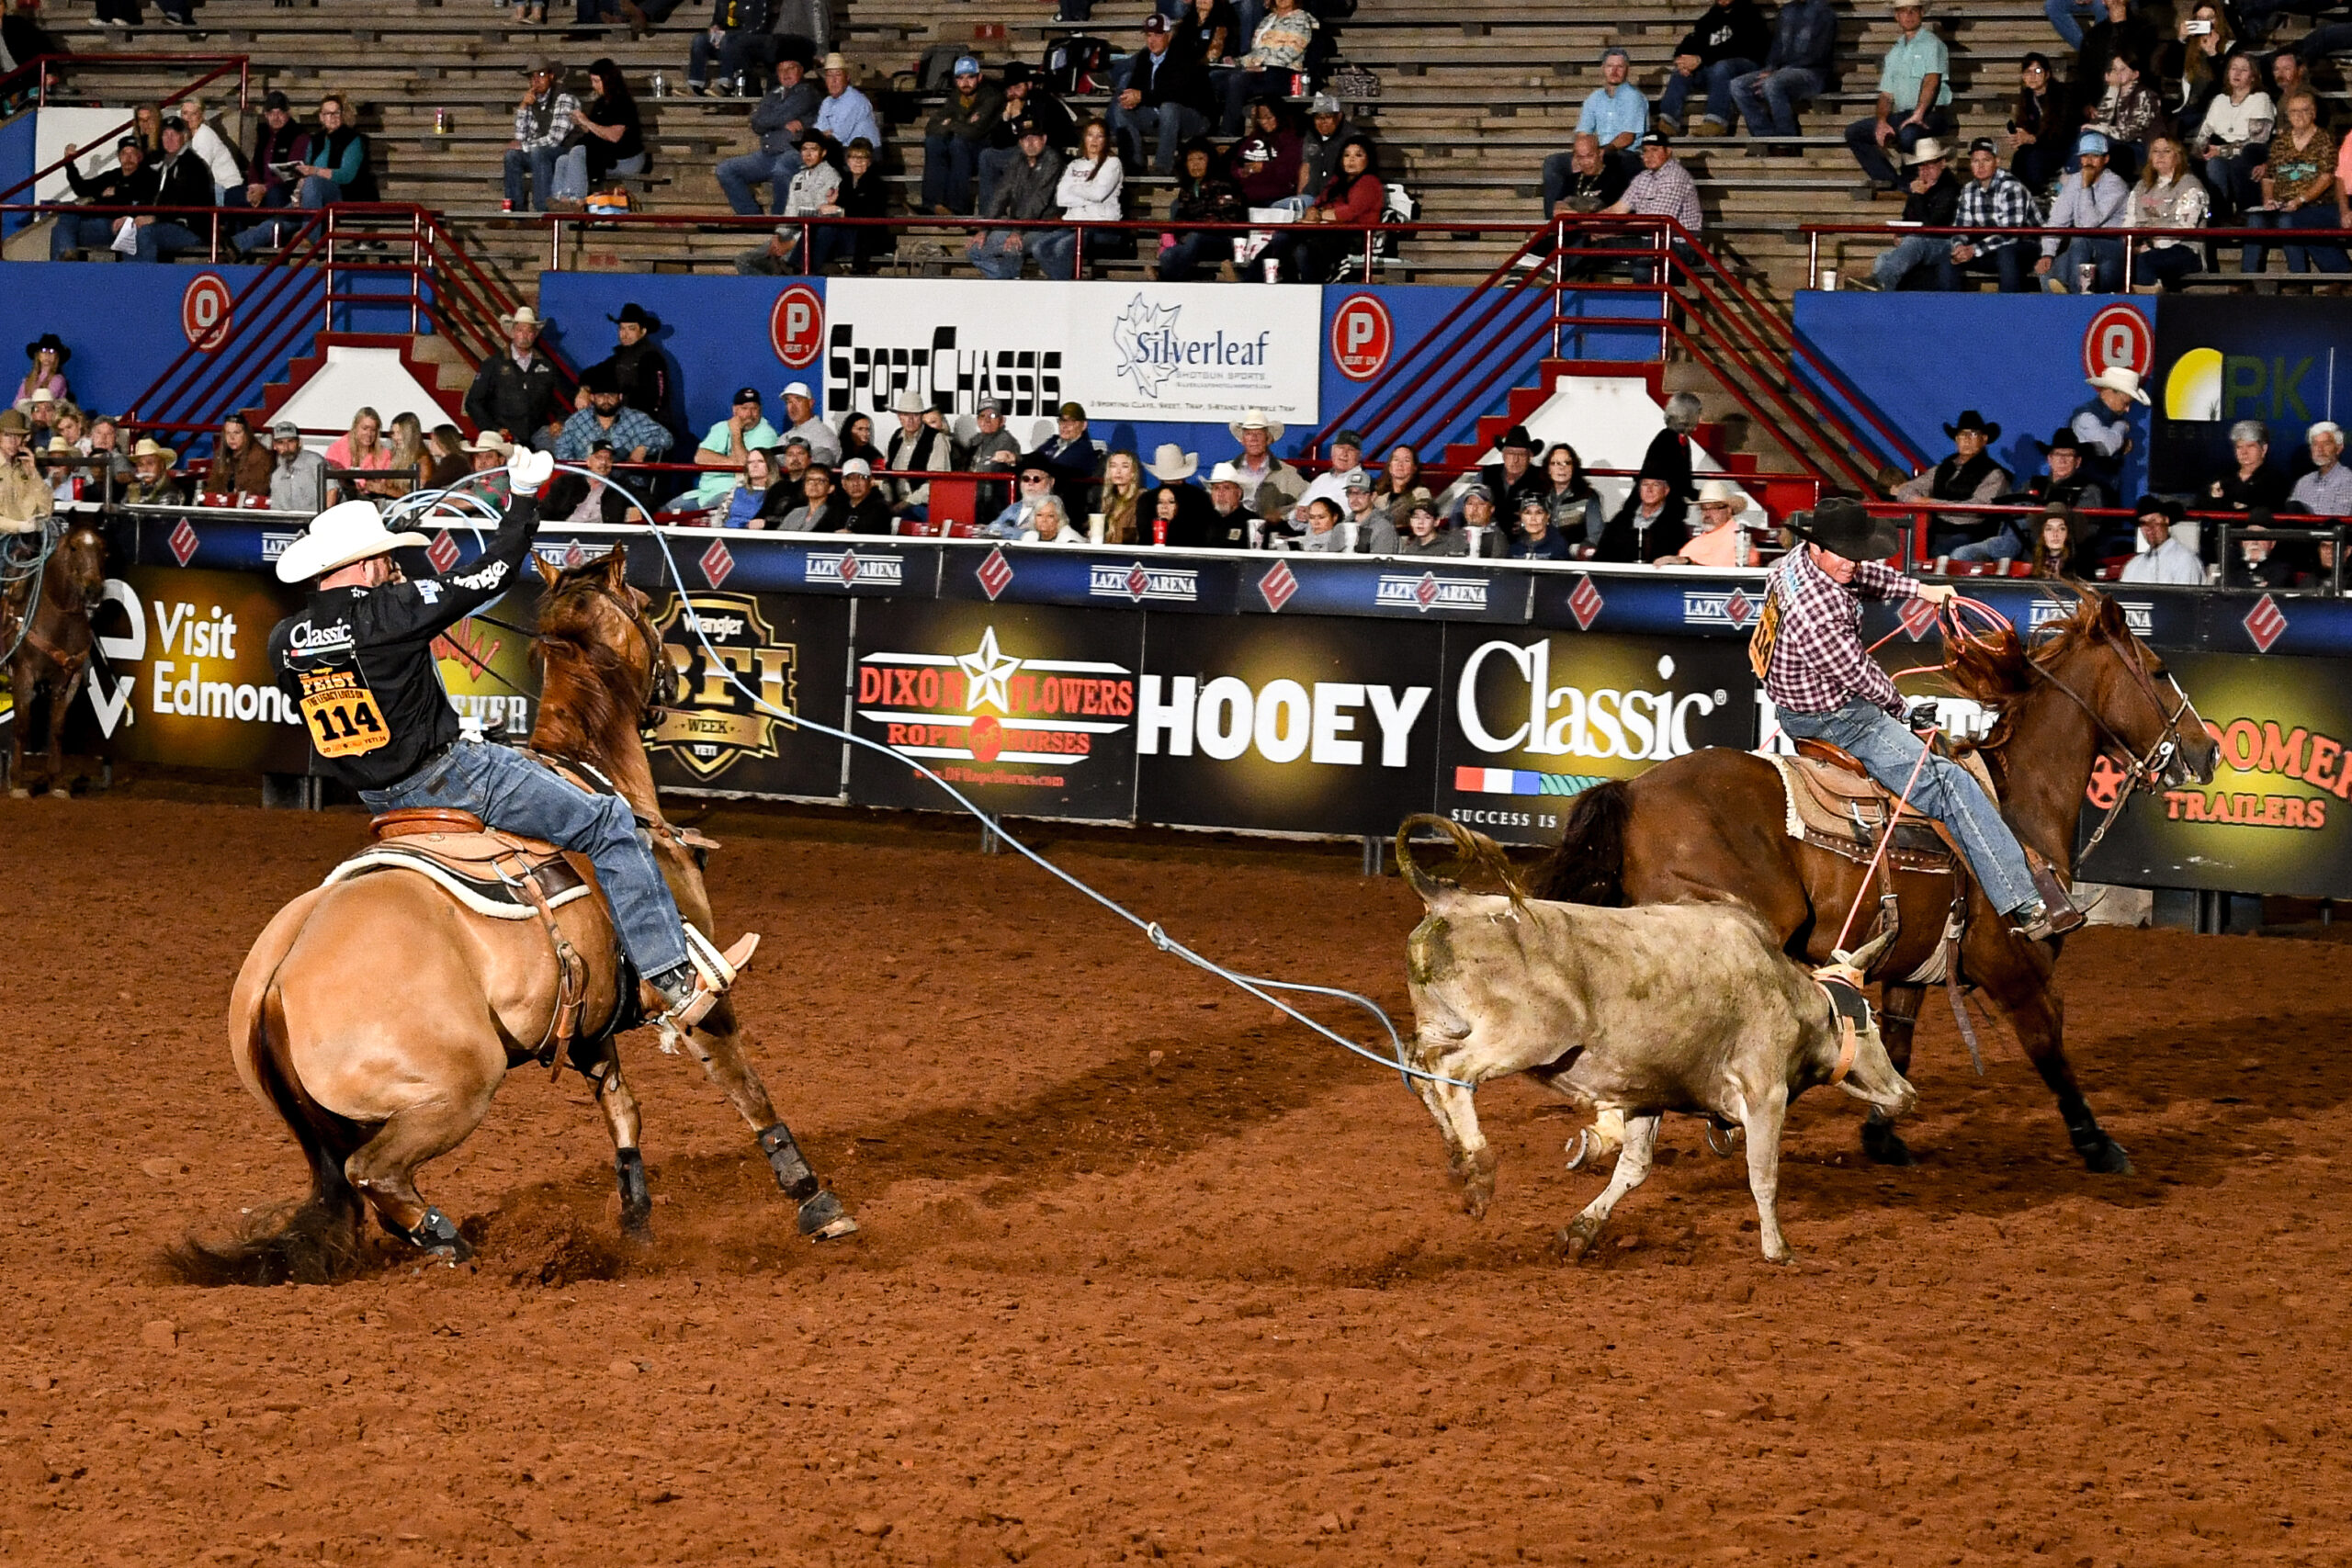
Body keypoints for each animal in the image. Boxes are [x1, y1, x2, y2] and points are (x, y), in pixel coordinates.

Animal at [3, 524, 107, 804]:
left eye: (104, 549)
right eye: (73, 547)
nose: (94, 590)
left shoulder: (68, 680)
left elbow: (57, 730)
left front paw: (56, 782)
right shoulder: (24, 675)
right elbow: (22, 727)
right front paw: (17, 784)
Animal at [176, 545, 855, 1279]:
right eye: (648, 606)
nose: (674, 677)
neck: (596, 771)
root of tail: (275, 981)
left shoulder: (589, 1021)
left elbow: (624, 1112)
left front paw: (636, 1225)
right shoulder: (700, 992)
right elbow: (746, 1088)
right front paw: (818, 1203)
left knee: (360, 1180)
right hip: (459, 1088)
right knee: (373, 1172)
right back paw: (454, 1245)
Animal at [1533, 592, 2211, 1175]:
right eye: (2159, 671)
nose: (2206, 751)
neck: (2017, 803)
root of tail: (1633, 791)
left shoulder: (1911, 964)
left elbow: (1898, 1041)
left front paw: (1883, 1131)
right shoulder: (2016, 969)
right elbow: (2049, 1047)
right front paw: (2098, 1144)